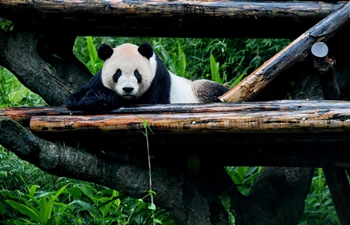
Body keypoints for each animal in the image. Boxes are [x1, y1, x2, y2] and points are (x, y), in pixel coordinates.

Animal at [65, 42, 230, 111]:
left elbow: (148, 101)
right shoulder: (98, 78)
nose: (127, 89)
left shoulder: (158, 81)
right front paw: (83, 99)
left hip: (199, 90)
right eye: (117, 73)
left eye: (137, 73)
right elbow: (76, 95)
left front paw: (95, 99)